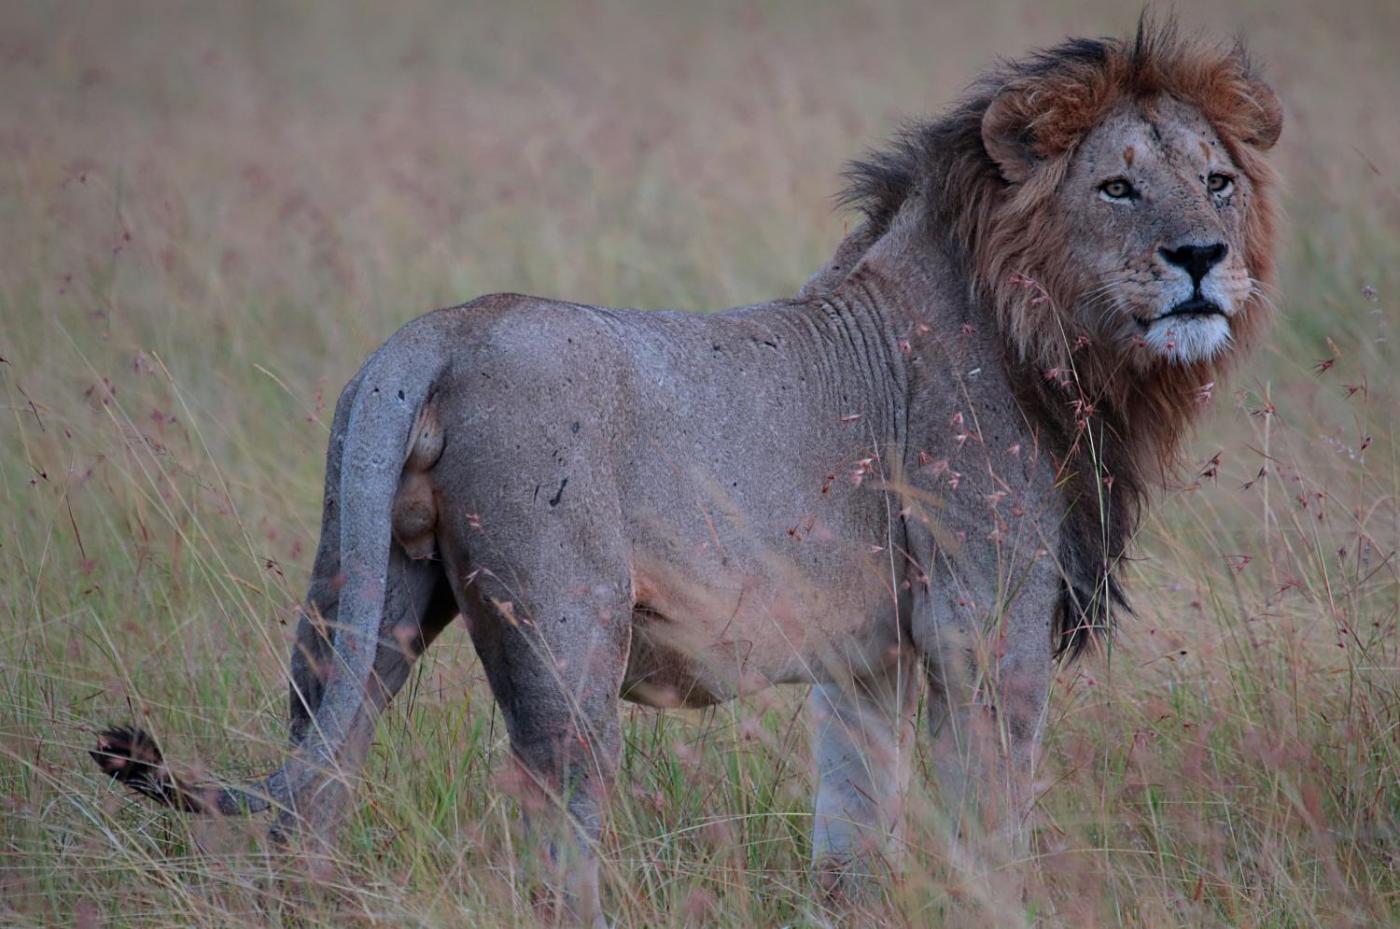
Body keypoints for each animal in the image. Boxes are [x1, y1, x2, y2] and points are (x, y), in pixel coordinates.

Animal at [92, 20, 1281, 926]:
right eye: (1118, 187)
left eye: (1217, 182)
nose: (1201, 258)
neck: (1058, 343)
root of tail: (438, 331)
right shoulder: (982, 632)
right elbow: (991, 827)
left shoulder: (870, 659)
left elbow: (853, 832)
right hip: (565, 639)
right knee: (553, 839)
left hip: (359, 598)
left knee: (315, 782)